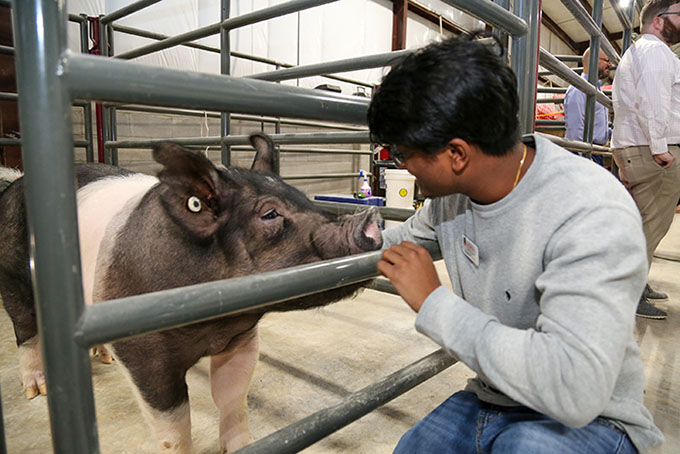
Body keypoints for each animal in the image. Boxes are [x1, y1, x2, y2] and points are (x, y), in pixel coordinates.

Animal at [0, 132, 382, 454]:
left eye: (302, 198)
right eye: (270, 214)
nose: (372, 219)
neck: (209, 327)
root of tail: (14, 183)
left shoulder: (241, 338)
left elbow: (232, 397)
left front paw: (243, 445)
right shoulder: (143, 353)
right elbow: (172, 426)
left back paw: (103, 357)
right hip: (13, 277)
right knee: (25, 330)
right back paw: (36, 390)